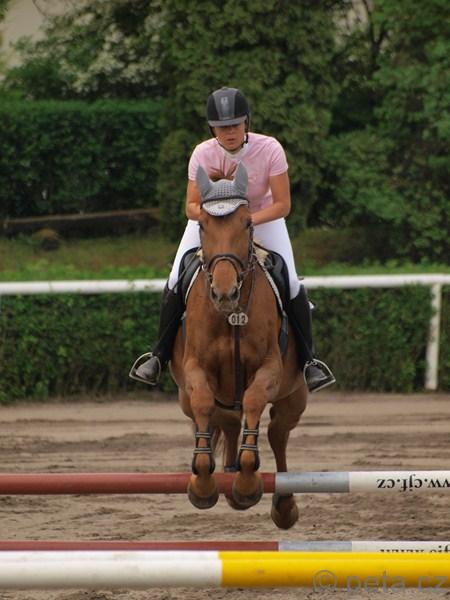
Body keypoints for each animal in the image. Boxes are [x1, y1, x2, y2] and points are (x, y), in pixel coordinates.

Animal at [170, 163, 308, 529]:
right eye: (202, 224)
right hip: (188, 398)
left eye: (247, 222)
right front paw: (202, 484)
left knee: (277, 433)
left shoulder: (271, 368)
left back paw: (281, 504)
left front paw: (247, 483)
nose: (224, 293)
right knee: (225, 420)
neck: (231, 316)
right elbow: (204, 404)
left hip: (294, 397)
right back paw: (227, 479)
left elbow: (254, 399)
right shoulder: (195, 370)